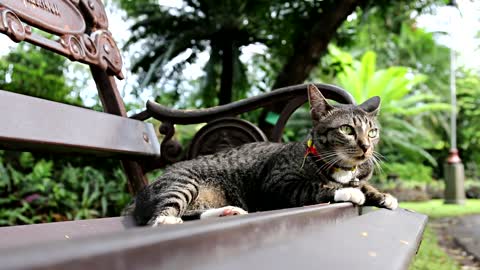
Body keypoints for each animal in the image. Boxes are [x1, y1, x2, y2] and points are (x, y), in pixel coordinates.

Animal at [131, 84, 398, 226]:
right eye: (347, 130)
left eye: (373, 132)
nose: (367, 147)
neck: (341, 167)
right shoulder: (277, 185)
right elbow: (316, 187)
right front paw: (347, 191)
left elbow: (364, 185)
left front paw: (382, 195)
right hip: (183, 183)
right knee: (157, 218)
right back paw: (168, 220)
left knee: (190, 214)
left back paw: (227, 211)